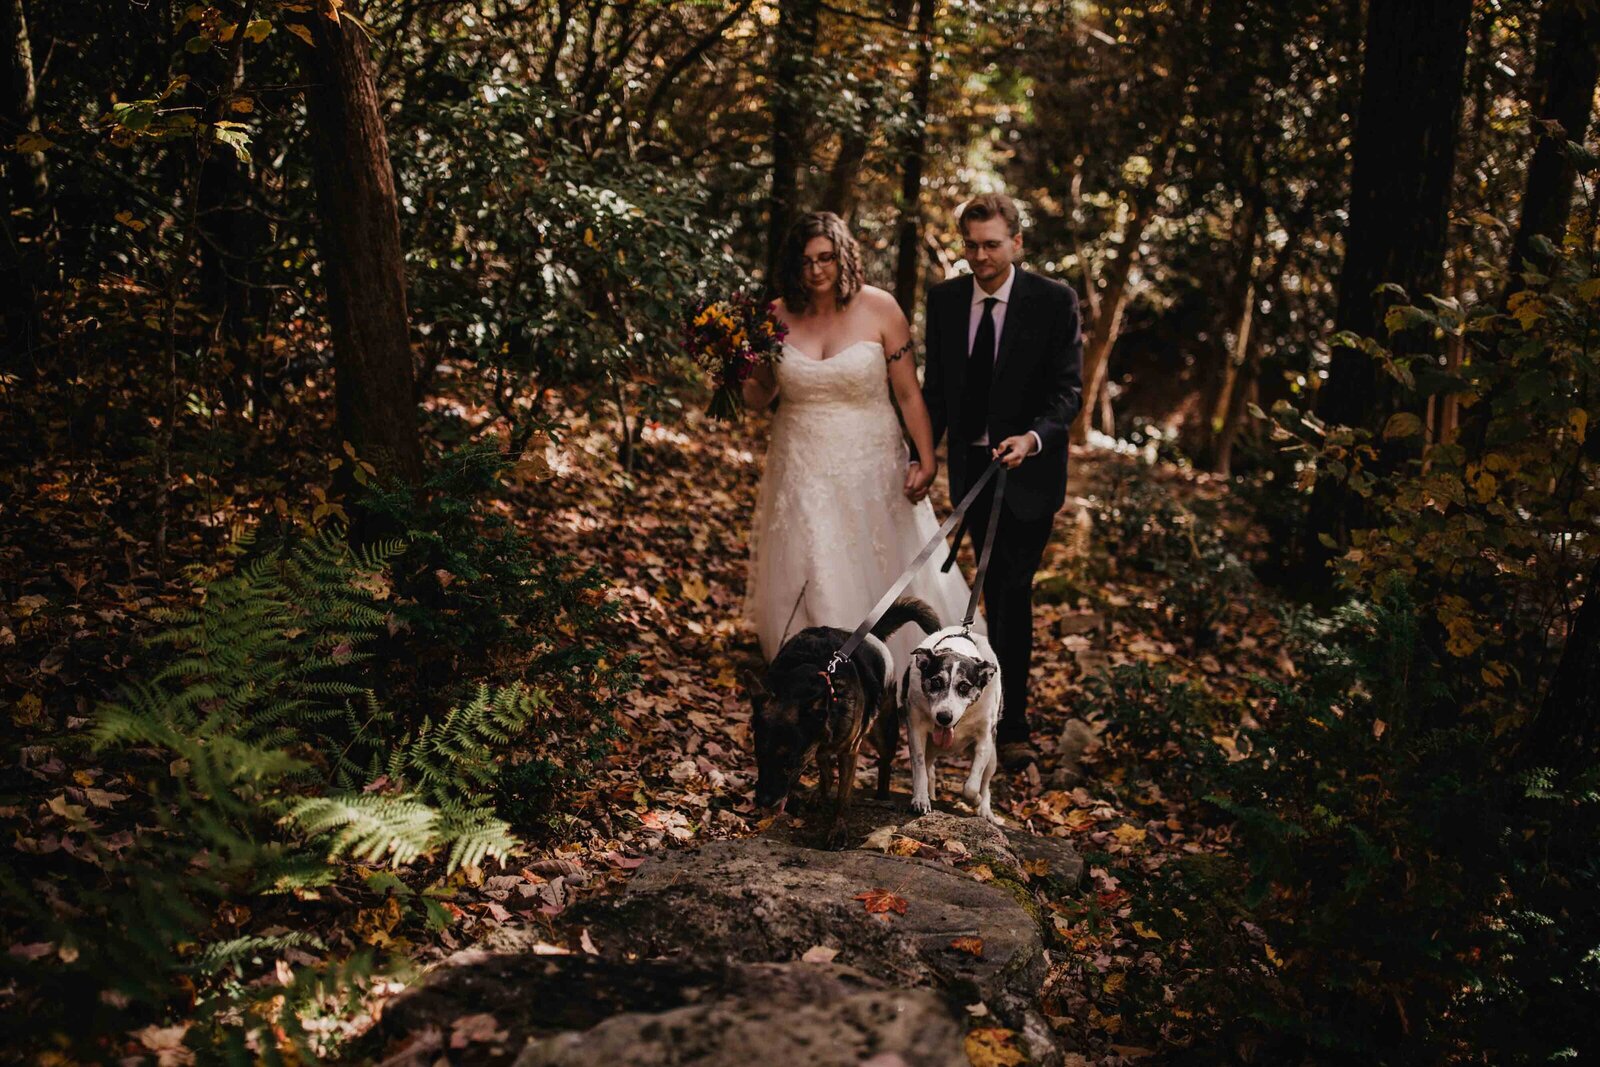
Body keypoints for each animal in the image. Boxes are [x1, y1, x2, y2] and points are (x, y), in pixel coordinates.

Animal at [745, 598, 934, 844]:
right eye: (758, 756)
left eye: (790, 762)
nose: (763, 801)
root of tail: (871, 635)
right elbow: (828, 776)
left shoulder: (849, 753)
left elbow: (842, 798)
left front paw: (837, 829)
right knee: (826, 770)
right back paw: (820, 794)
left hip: (885, 732)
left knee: (884, 763)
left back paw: (881, 796)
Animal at [902, 627, 998, 825]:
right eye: (936, 682)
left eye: (964, 687)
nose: (944, 717)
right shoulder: (915, 727)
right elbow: (919, 765)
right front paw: (920, 799)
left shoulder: (985, 737)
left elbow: (971, 787)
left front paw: (975, 799)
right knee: (928, 769)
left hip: (993, 757)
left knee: (986, 783)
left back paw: (985, 809)